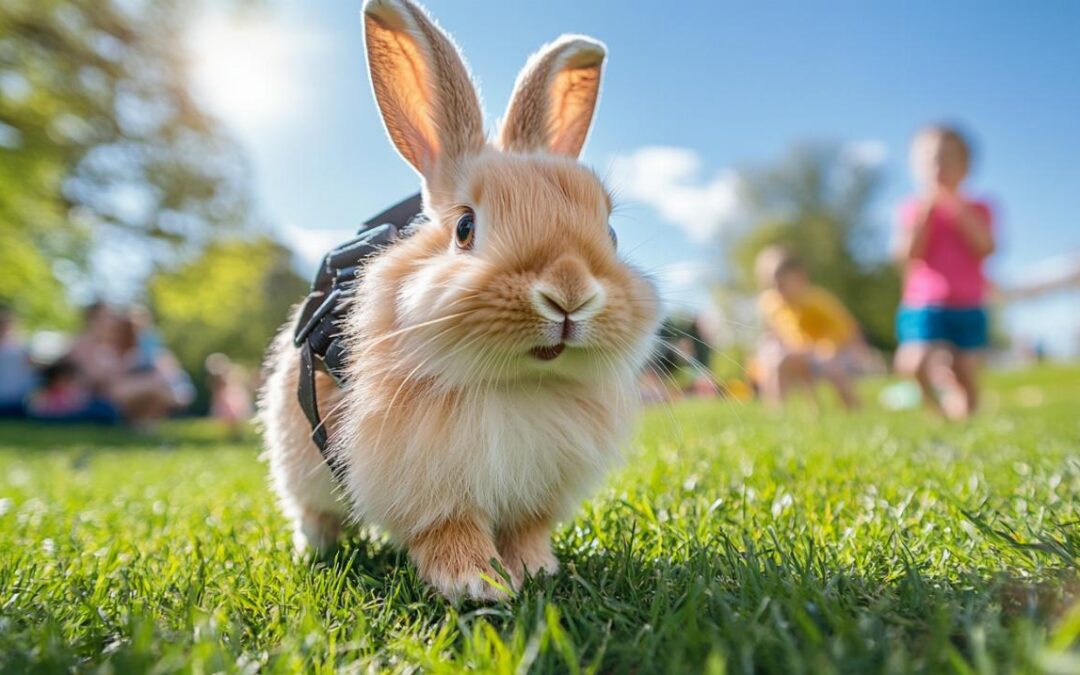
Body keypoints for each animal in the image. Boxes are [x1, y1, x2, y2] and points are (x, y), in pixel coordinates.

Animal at [258, 0, 660, 601]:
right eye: (465, 228)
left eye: (609, 233)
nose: (569, 293)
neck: (517, 384)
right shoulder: (432, 490)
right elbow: (451, 532)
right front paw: (478, 585)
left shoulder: (534, 497)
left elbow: (526, 532)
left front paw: (537, 570)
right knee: (313, 515)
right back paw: (314, 551)